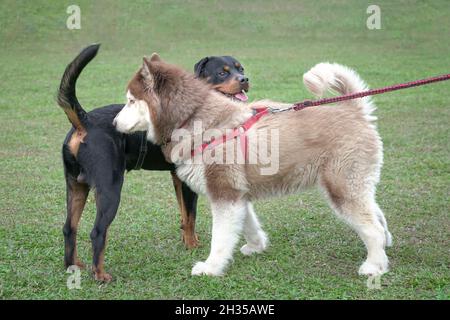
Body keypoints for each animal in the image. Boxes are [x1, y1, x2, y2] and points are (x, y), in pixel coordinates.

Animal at [58, 45, 250, 282]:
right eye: (222, 73)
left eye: (241, 69)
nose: (245, 79)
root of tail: (84, 121)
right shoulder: (187, 182)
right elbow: (191, 214)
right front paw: (192, 246)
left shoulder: (178, 177)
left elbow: (184, 214)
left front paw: (188, 240)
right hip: (110, 188)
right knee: (97, 231)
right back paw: (100, 274)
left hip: (76, 185)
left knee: (69, 227)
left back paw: (72, 265)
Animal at [114, 53, 392, 276]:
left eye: (131, 100)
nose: (114, 123)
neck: (194, 120)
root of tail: (354, 110)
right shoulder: (236, 195)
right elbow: (248, 225)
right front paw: (257, 245)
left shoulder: (224, 193)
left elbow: (220, 238)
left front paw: (211, 267)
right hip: (355, 186)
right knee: (378, 215)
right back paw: (385, 245)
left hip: (342, 189)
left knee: (372, 228)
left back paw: (374, 266)